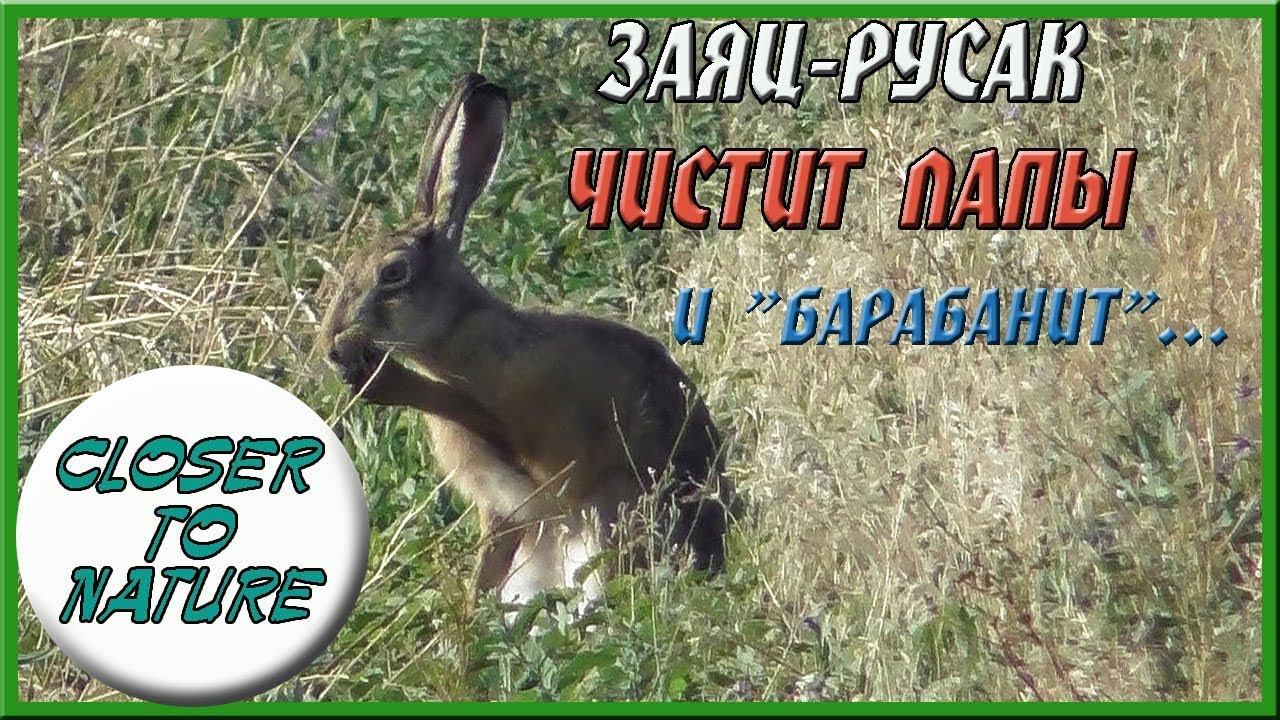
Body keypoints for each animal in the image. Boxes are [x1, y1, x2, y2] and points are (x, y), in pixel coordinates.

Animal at [320, 73, 731, 609]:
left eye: (393, 274)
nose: (331, 343)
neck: (457, 334)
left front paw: (379, 376)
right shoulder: (500, 508)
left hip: (610, 520)